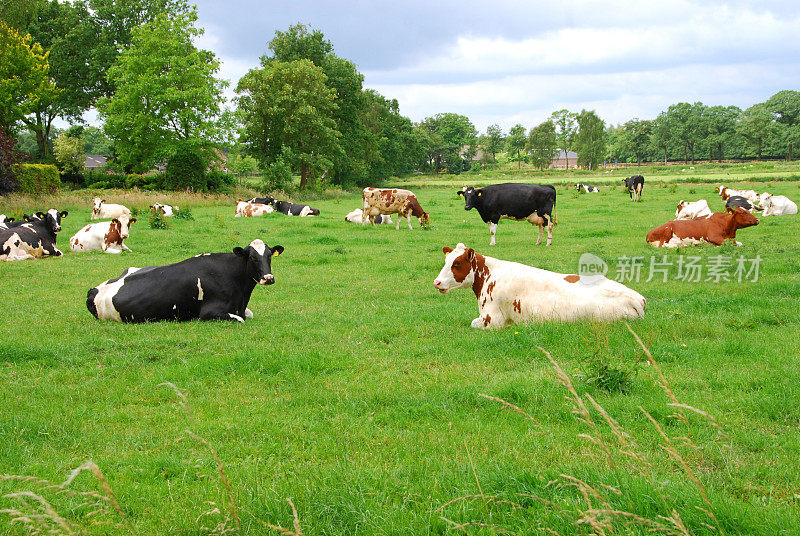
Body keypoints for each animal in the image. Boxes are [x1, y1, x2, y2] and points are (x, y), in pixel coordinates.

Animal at [84, 239, 282, 322]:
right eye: (252, 257)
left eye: (269, 255)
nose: (268, 278)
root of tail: (93, 289)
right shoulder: (209, 313)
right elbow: (241, 319)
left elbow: (249, 314)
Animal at [434, 242, 648, 326]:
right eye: (446, 260)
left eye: (457, 263)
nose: (437, 282)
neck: (489, 275)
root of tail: (637, 298)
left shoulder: (492, 320)